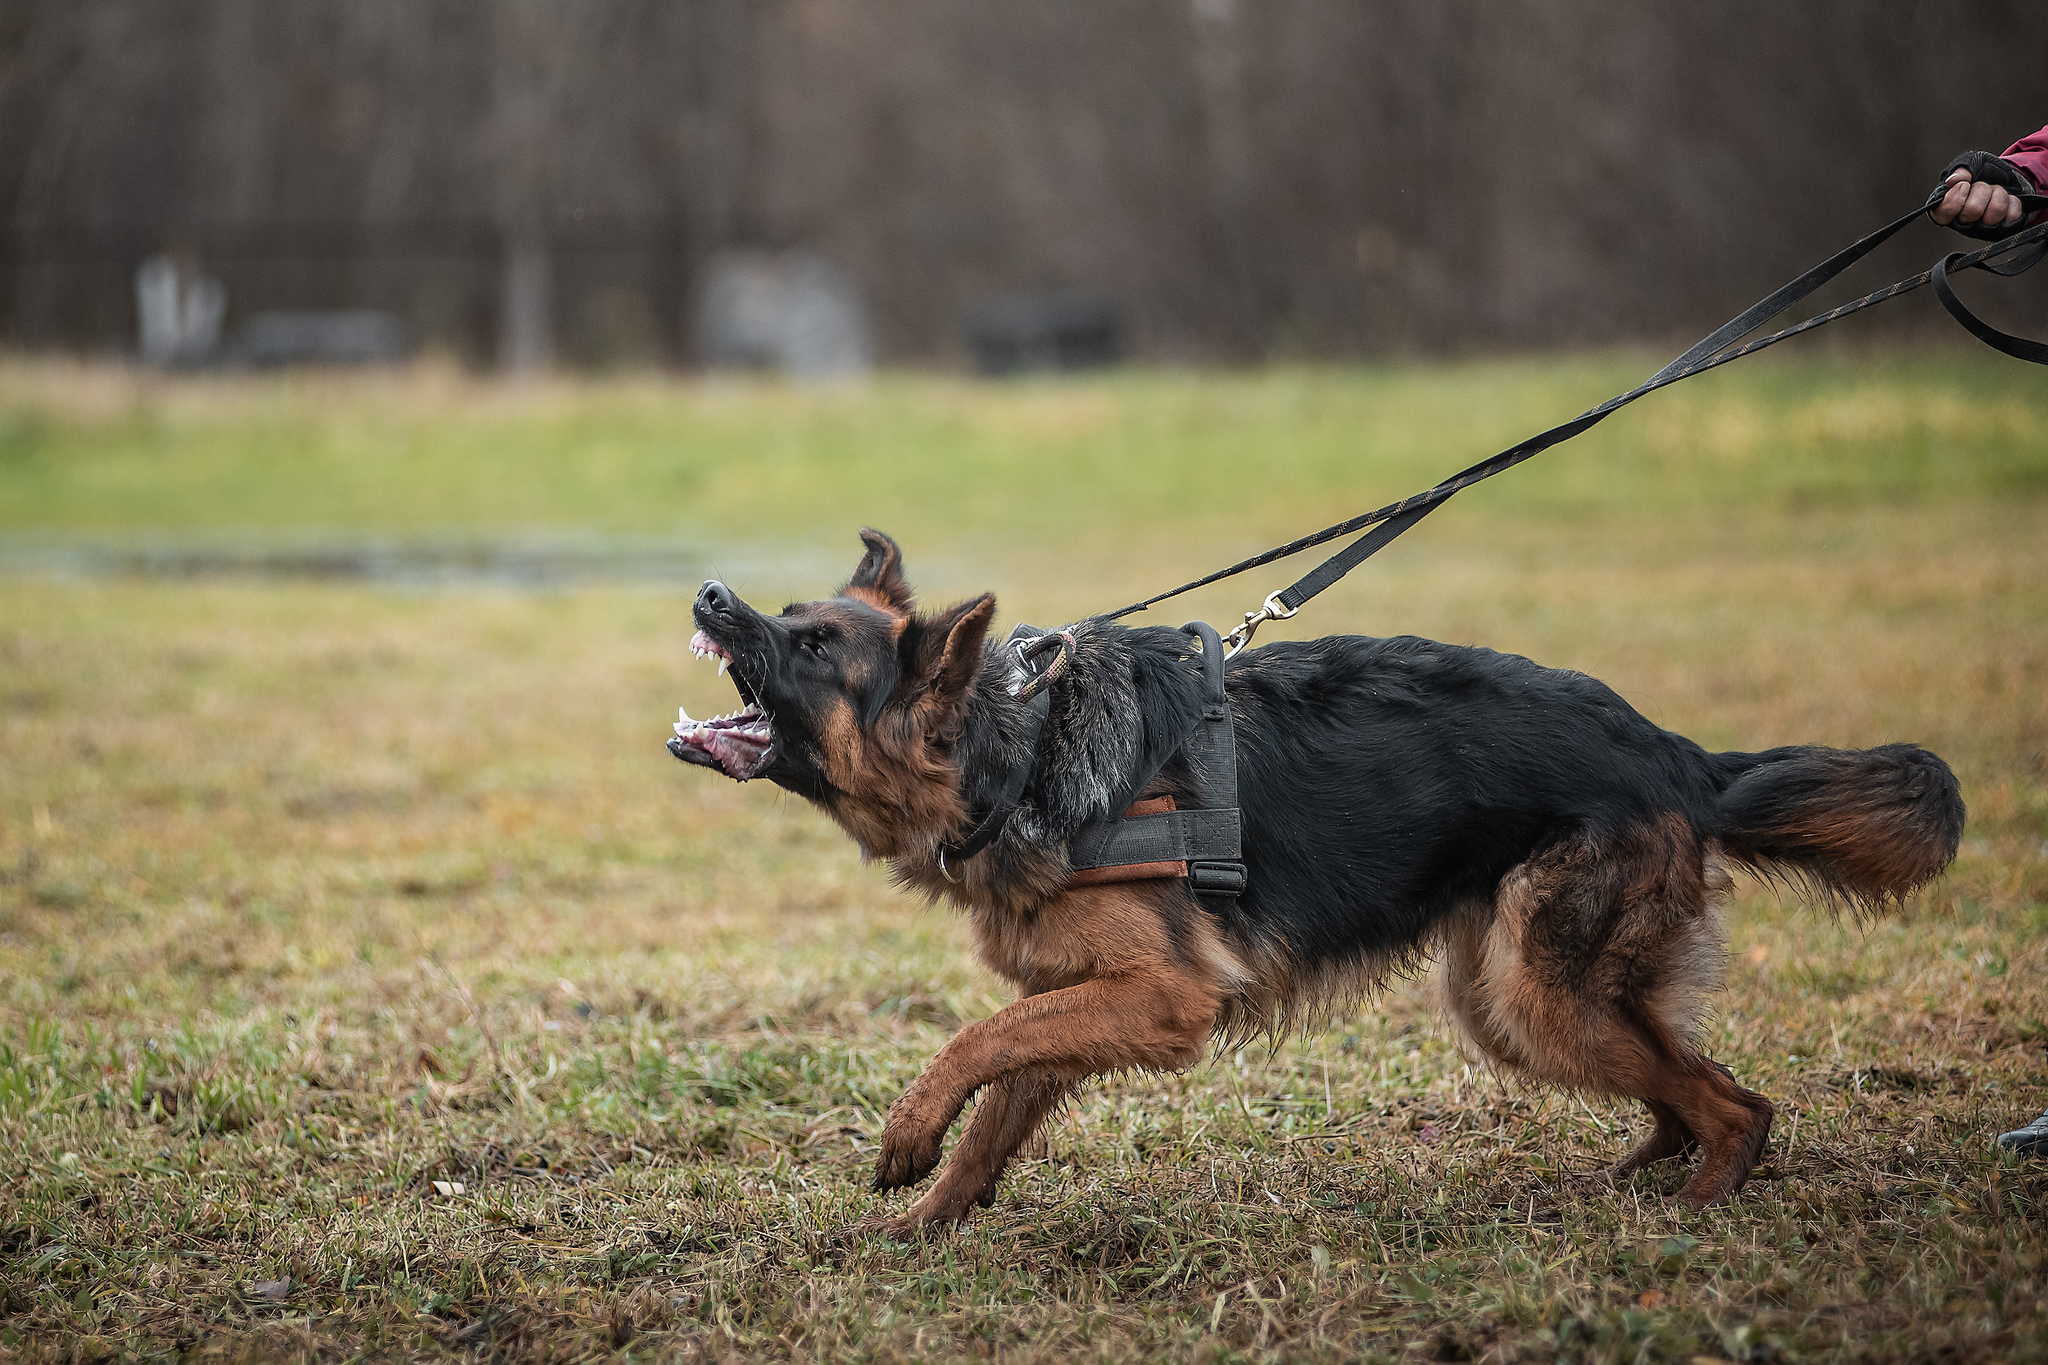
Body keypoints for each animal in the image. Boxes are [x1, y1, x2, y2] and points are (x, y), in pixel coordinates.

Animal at [667, 532, 1949, 1227]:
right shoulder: (1083, 996)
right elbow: (1000, 1101)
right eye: (787, 614)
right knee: (1684, 1083)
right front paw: (924, 1224)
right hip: (1510, 999)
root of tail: (1675, 752)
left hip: (1536, 994)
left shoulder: (1159, 1001)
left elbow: (973, 1044)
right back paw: (1638, 1172)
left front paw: (905, 1139)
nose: (711, 596)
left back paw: (1685, 1216)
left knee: (1736, 1106)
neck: (1008, 748)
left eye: (815, 645)